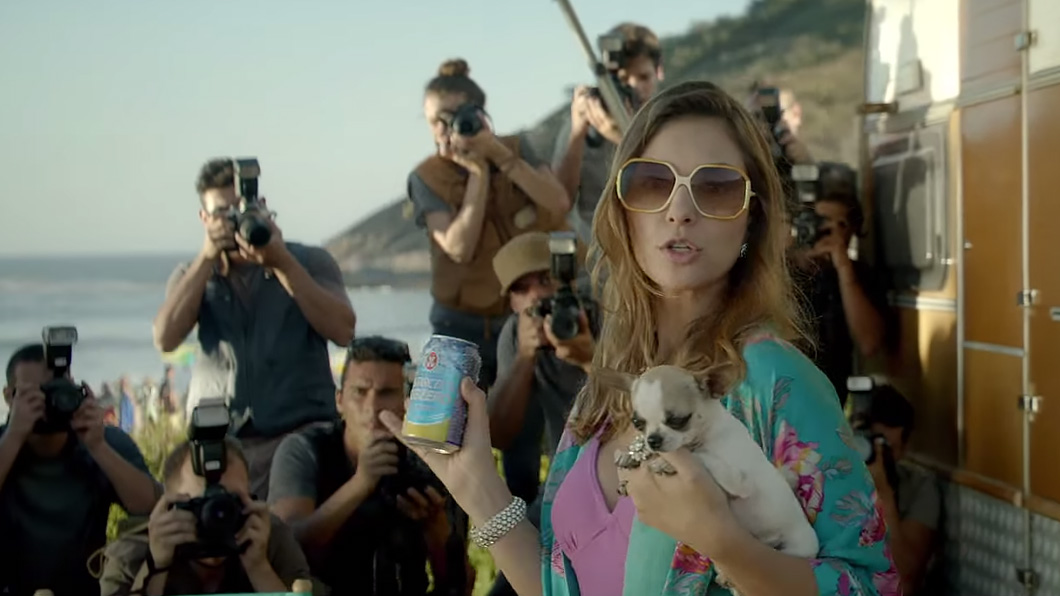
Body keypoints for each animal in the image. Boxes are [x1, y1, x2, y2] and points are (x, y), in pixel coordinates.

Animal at [600, 365, 819, 592]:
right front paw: (631, 454)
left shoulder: (740, 482)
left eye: (678, 420)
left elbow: (702, 456)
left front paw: (665, 463)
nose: (653, 440)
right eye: (637, 423)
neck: (706, 434)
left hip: (791, 550)